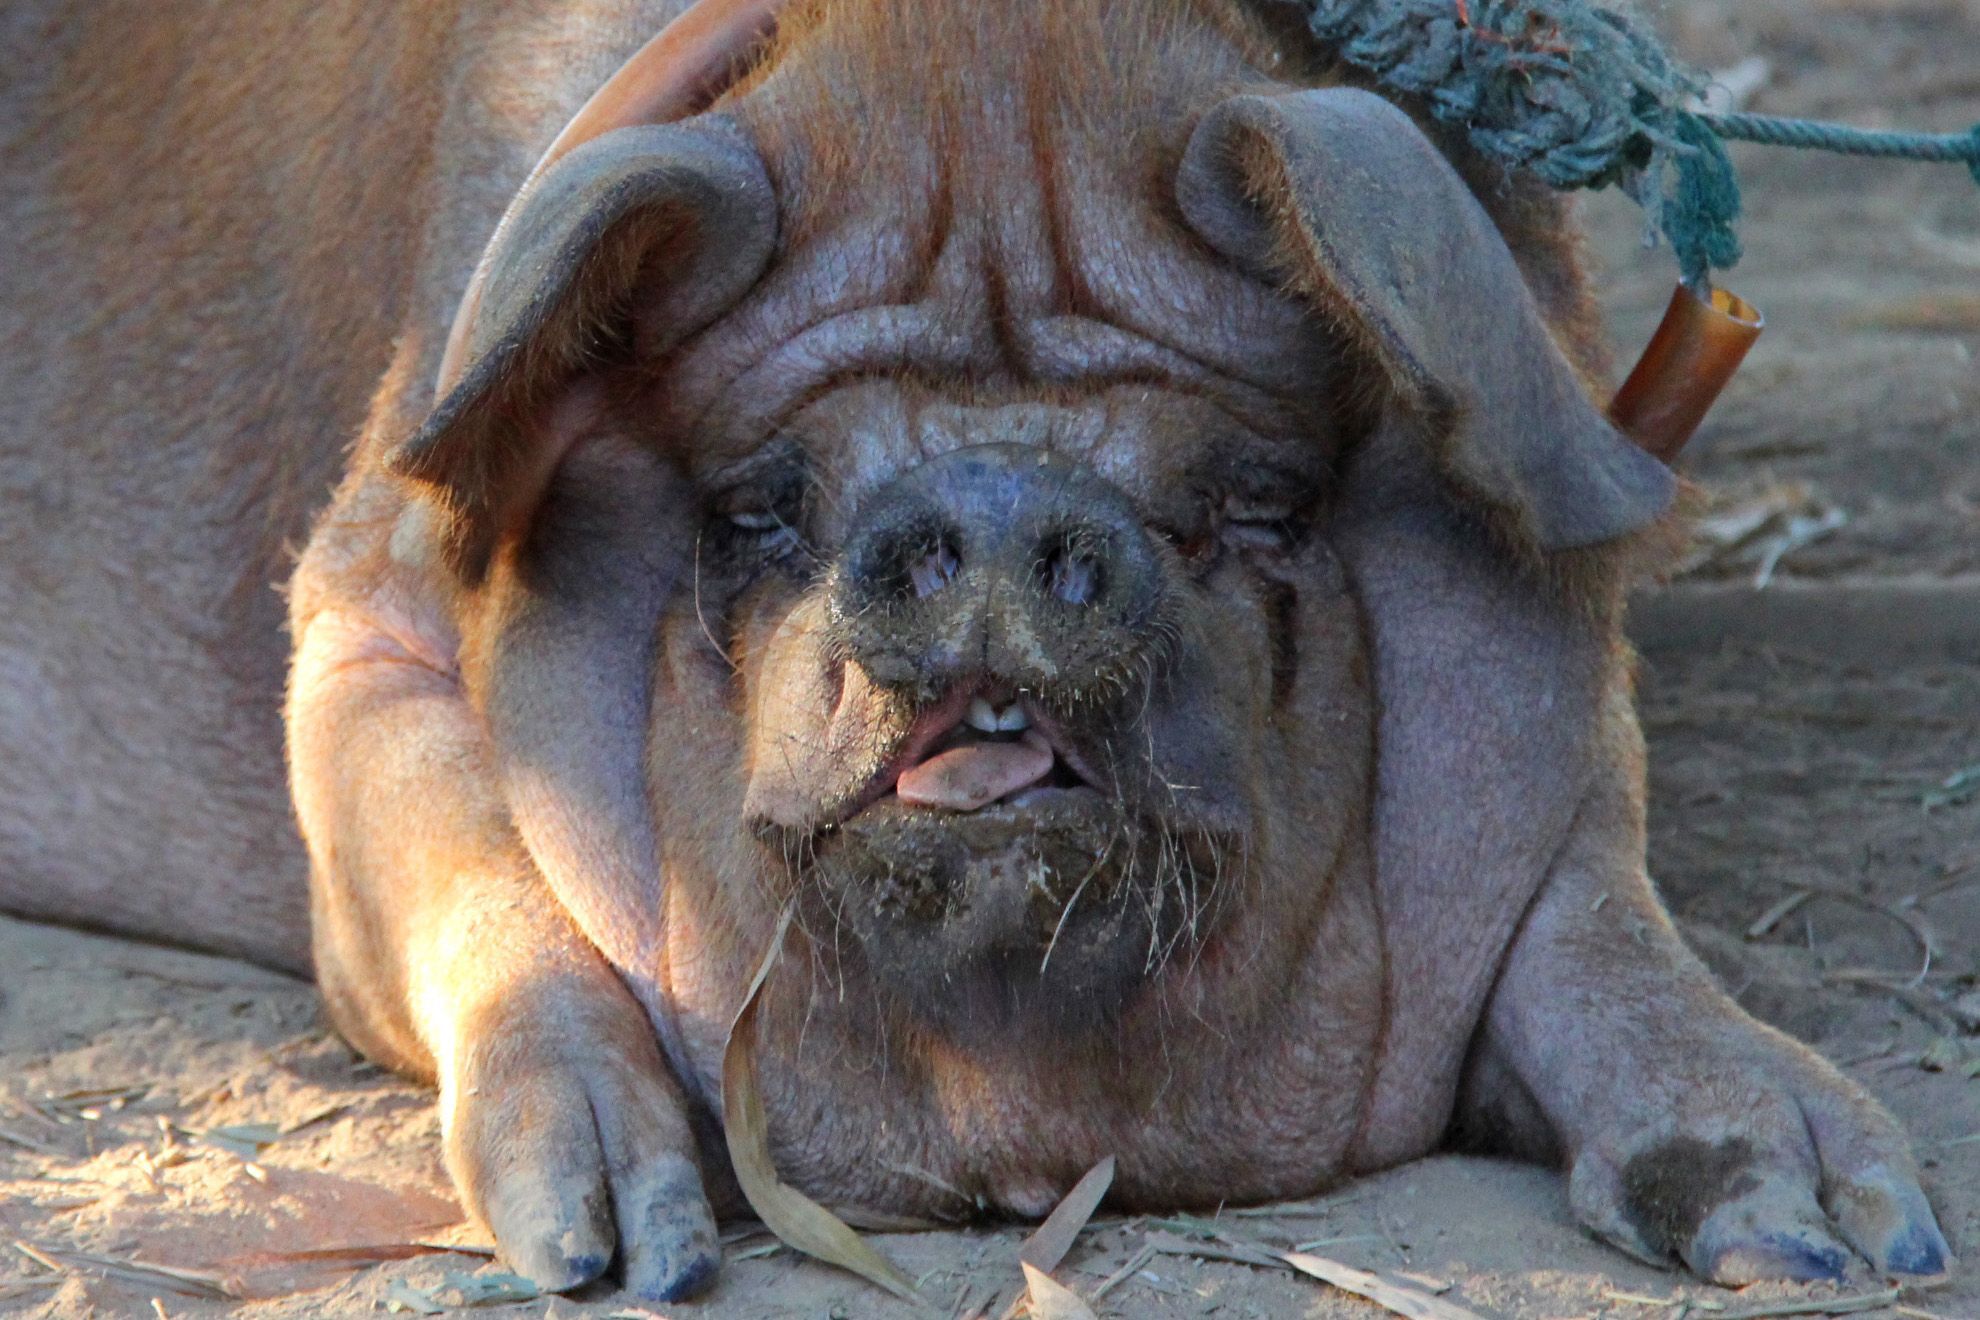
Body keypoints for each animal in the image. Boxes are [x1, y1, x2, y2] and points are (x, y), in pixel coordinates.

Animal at [0, 0, 1950, 1304]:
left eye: (1258, 494)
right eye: (757, 504)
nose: (1005, 512)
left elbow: (1597, 911)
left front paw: (1843, 1234)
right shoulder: (359, 625)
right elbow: (466, 864)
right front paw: (610, 1254)